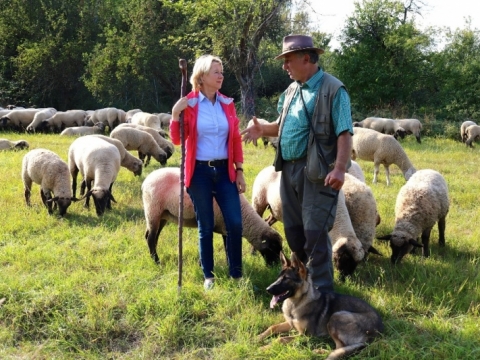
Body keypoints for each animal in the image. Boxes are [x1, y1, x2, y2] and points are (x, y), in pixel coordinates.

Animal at [141, 167, 284, 266]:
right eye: (272, 248)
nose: (275, 267)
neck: (243, 215)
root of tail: (146, 181)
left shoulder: (225, 227)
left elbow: (227, 248)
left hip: (162, 215)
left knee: (152, 236)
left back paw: (153, 257)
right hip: (153, 210)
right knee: (151, 237)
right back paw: (157, 261)